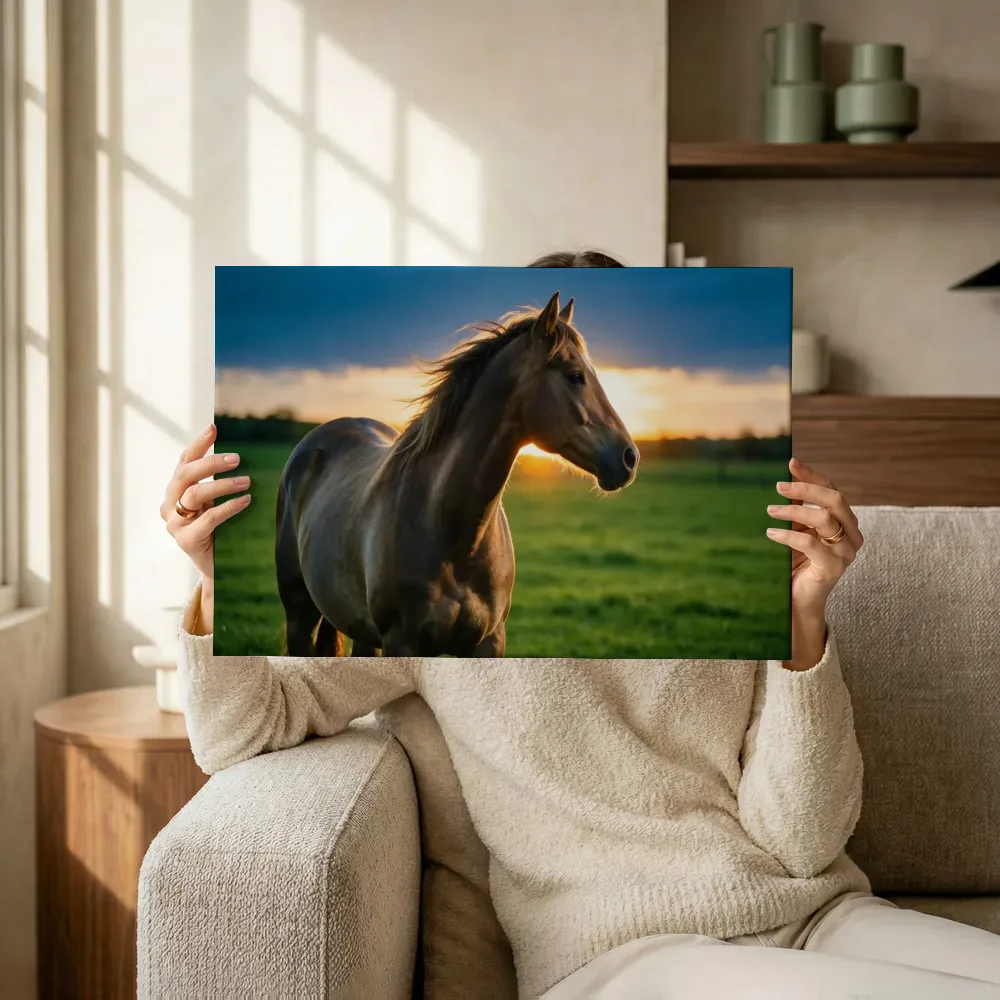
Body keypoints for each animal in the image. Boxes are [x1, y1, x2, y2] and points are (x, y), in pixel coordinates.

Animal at [274, 290, 638, 658]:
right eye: (575, 376)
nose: (629, 457)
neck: (449, 529)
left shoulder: (488, 643)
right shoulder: (401, 642)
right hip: (300, 616)